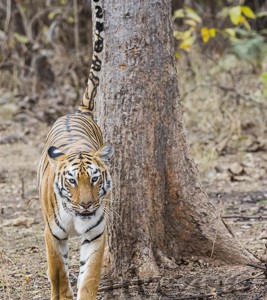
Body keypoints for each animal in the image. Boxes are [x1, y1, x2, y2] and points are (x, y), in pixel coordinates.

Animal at [37, 1, 114, 298]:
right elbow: (58, 272)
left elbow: (89, 276)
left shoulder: (96, 235)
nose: (86, 204)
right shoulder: (52, 234)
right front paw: (63, 293)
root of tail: (77, 111)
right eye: (71, 181)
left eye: (94, 179)